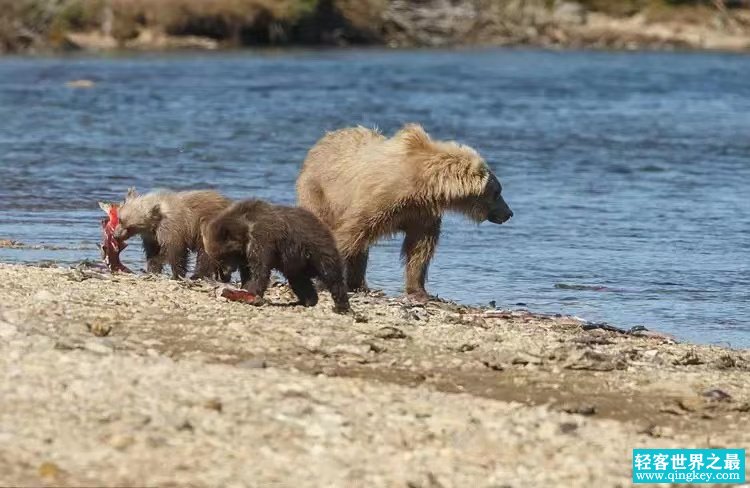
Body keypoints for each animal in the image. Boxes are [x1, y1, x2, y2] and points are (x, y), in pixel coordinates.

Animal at [296, 124, 516, 302]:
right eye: (497, 192)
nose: (509, 213)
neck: (423, 185)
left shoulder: (421, 213)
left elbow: (420, 248)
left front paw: (419, 291)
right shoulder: (380, 200)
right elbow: (350, 234)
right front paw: (325, 280)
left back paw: (359, 285)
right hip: (319, 192)